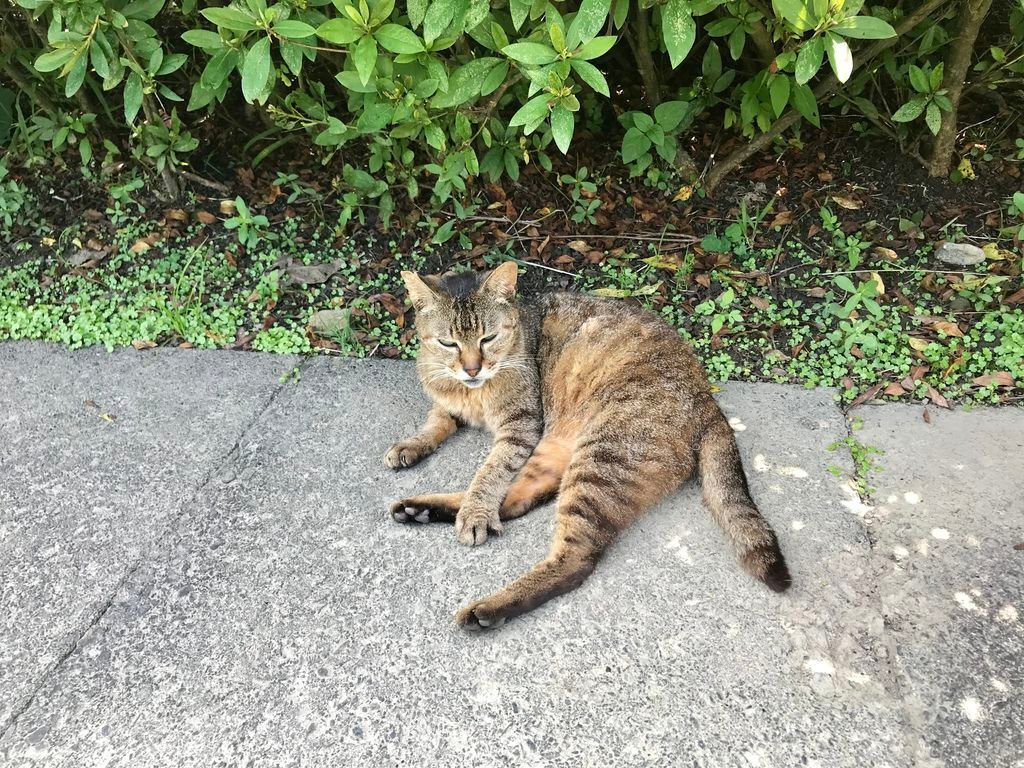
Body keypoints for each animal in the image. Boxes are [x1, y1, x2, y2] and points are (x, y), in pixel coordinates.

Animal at [385, 264, 790, 630]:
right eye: (448, 342)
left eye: (488, 338)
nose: (472, 369)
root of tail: (706, 396)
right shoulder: (450, 403)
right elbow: (436, 422)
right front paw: (411, 445)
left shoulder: (521, 425)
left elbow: (489, 473)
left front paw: (475, 512)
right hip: (563, 451)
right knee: (516, 501)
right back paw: (422, 509)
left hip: (600, 460)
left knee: (575, 560)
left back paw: (489, 605)